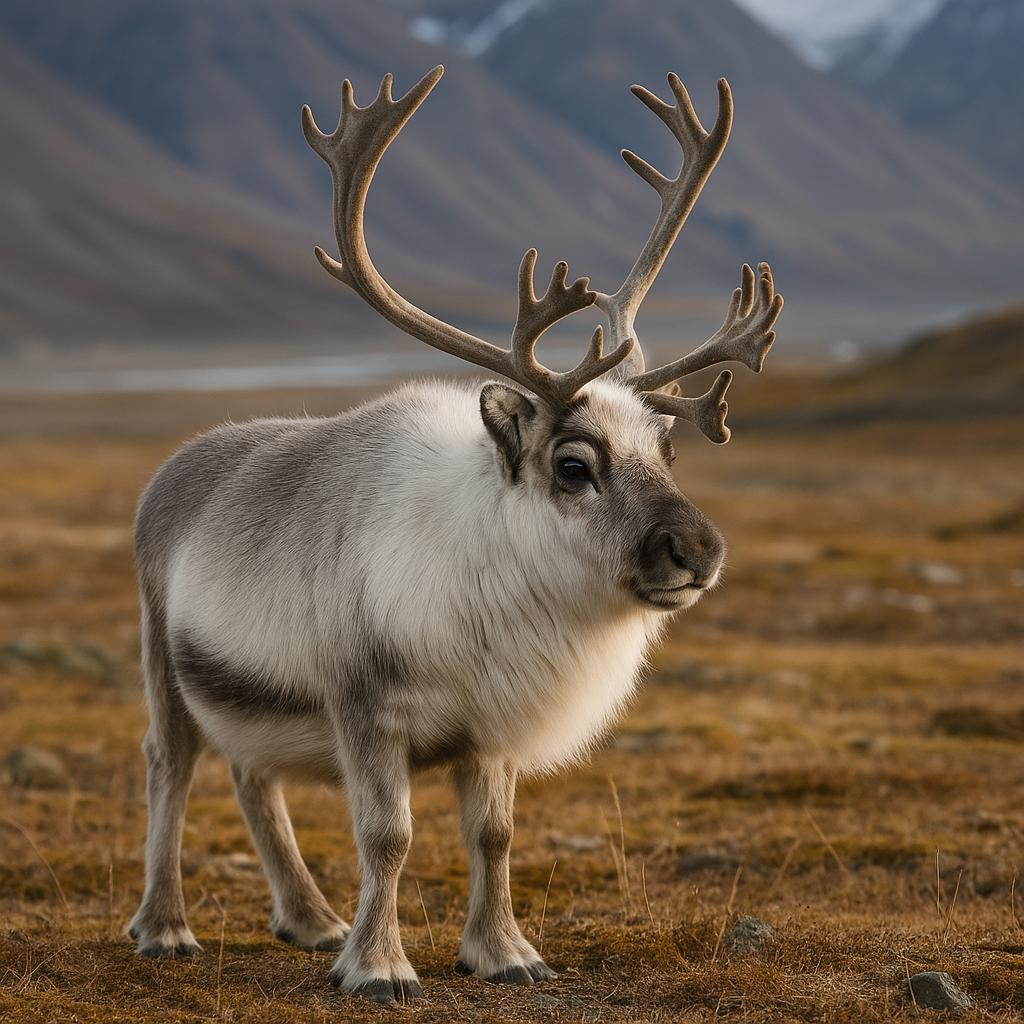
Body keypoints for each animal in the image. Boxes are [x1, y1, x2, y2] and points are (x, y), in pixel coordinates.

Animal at [126, 65, 781, 1004]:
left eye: (667, 449)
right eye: (573, 464)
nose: (699, 551)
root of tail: (171, 470)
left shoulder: (493, 725)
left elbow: (494, 838)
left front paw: (505, 952)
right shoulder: (365, 707)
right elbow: (388, 837)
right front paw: (379, 967)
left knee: (253, 777)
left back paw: (309, 919)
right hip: (162, 659)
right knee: (169, 766)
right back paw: (166, 927)